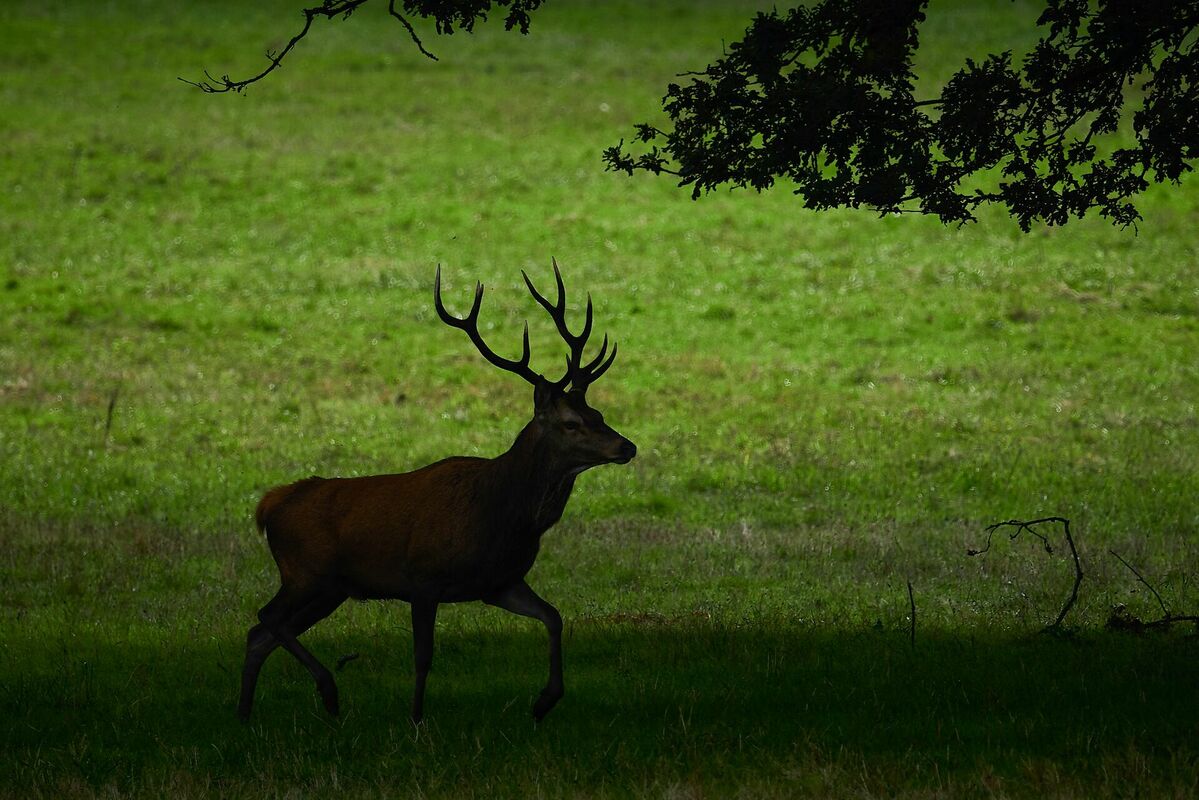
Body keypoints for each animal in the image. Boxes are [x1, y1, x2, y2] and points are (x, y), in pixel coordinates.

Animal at [232, 261, 637, 724]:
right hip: (306, 572)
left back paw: (245, 716)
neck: (503, 516)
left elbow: (554, 617)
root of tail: (269, 504)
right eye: (571, 422)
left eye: (598, 413)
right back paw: (328, 692)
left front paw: (544, 700)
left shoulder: (499, 582)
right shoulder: (423, 579)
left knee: (259, 633)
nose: (627, 447)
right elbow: (423, 656)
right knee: (266, 618)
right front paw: (416, 719)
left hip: (330, 588)